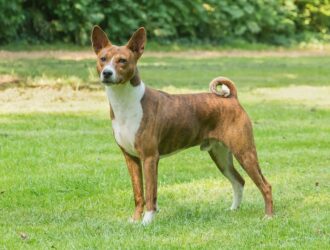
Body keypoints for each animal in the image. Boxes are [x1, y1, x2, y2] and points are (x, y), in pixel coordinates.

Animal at [91, 25, 274, 225]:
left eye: (122, 60)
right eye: (103, 59)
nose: (107, 73)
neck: (126, 103)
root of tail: (232, 98)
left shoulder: (149, 157)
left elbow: (150, 193)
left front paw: (146, 222)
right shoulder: (130, 157)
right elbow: (138, 193)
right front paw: (134, 220)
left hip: (244, 152)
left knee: (265, 185)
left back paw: (269, 216)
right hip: (220, 155)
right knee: (239, 181)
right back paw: (233, 210)